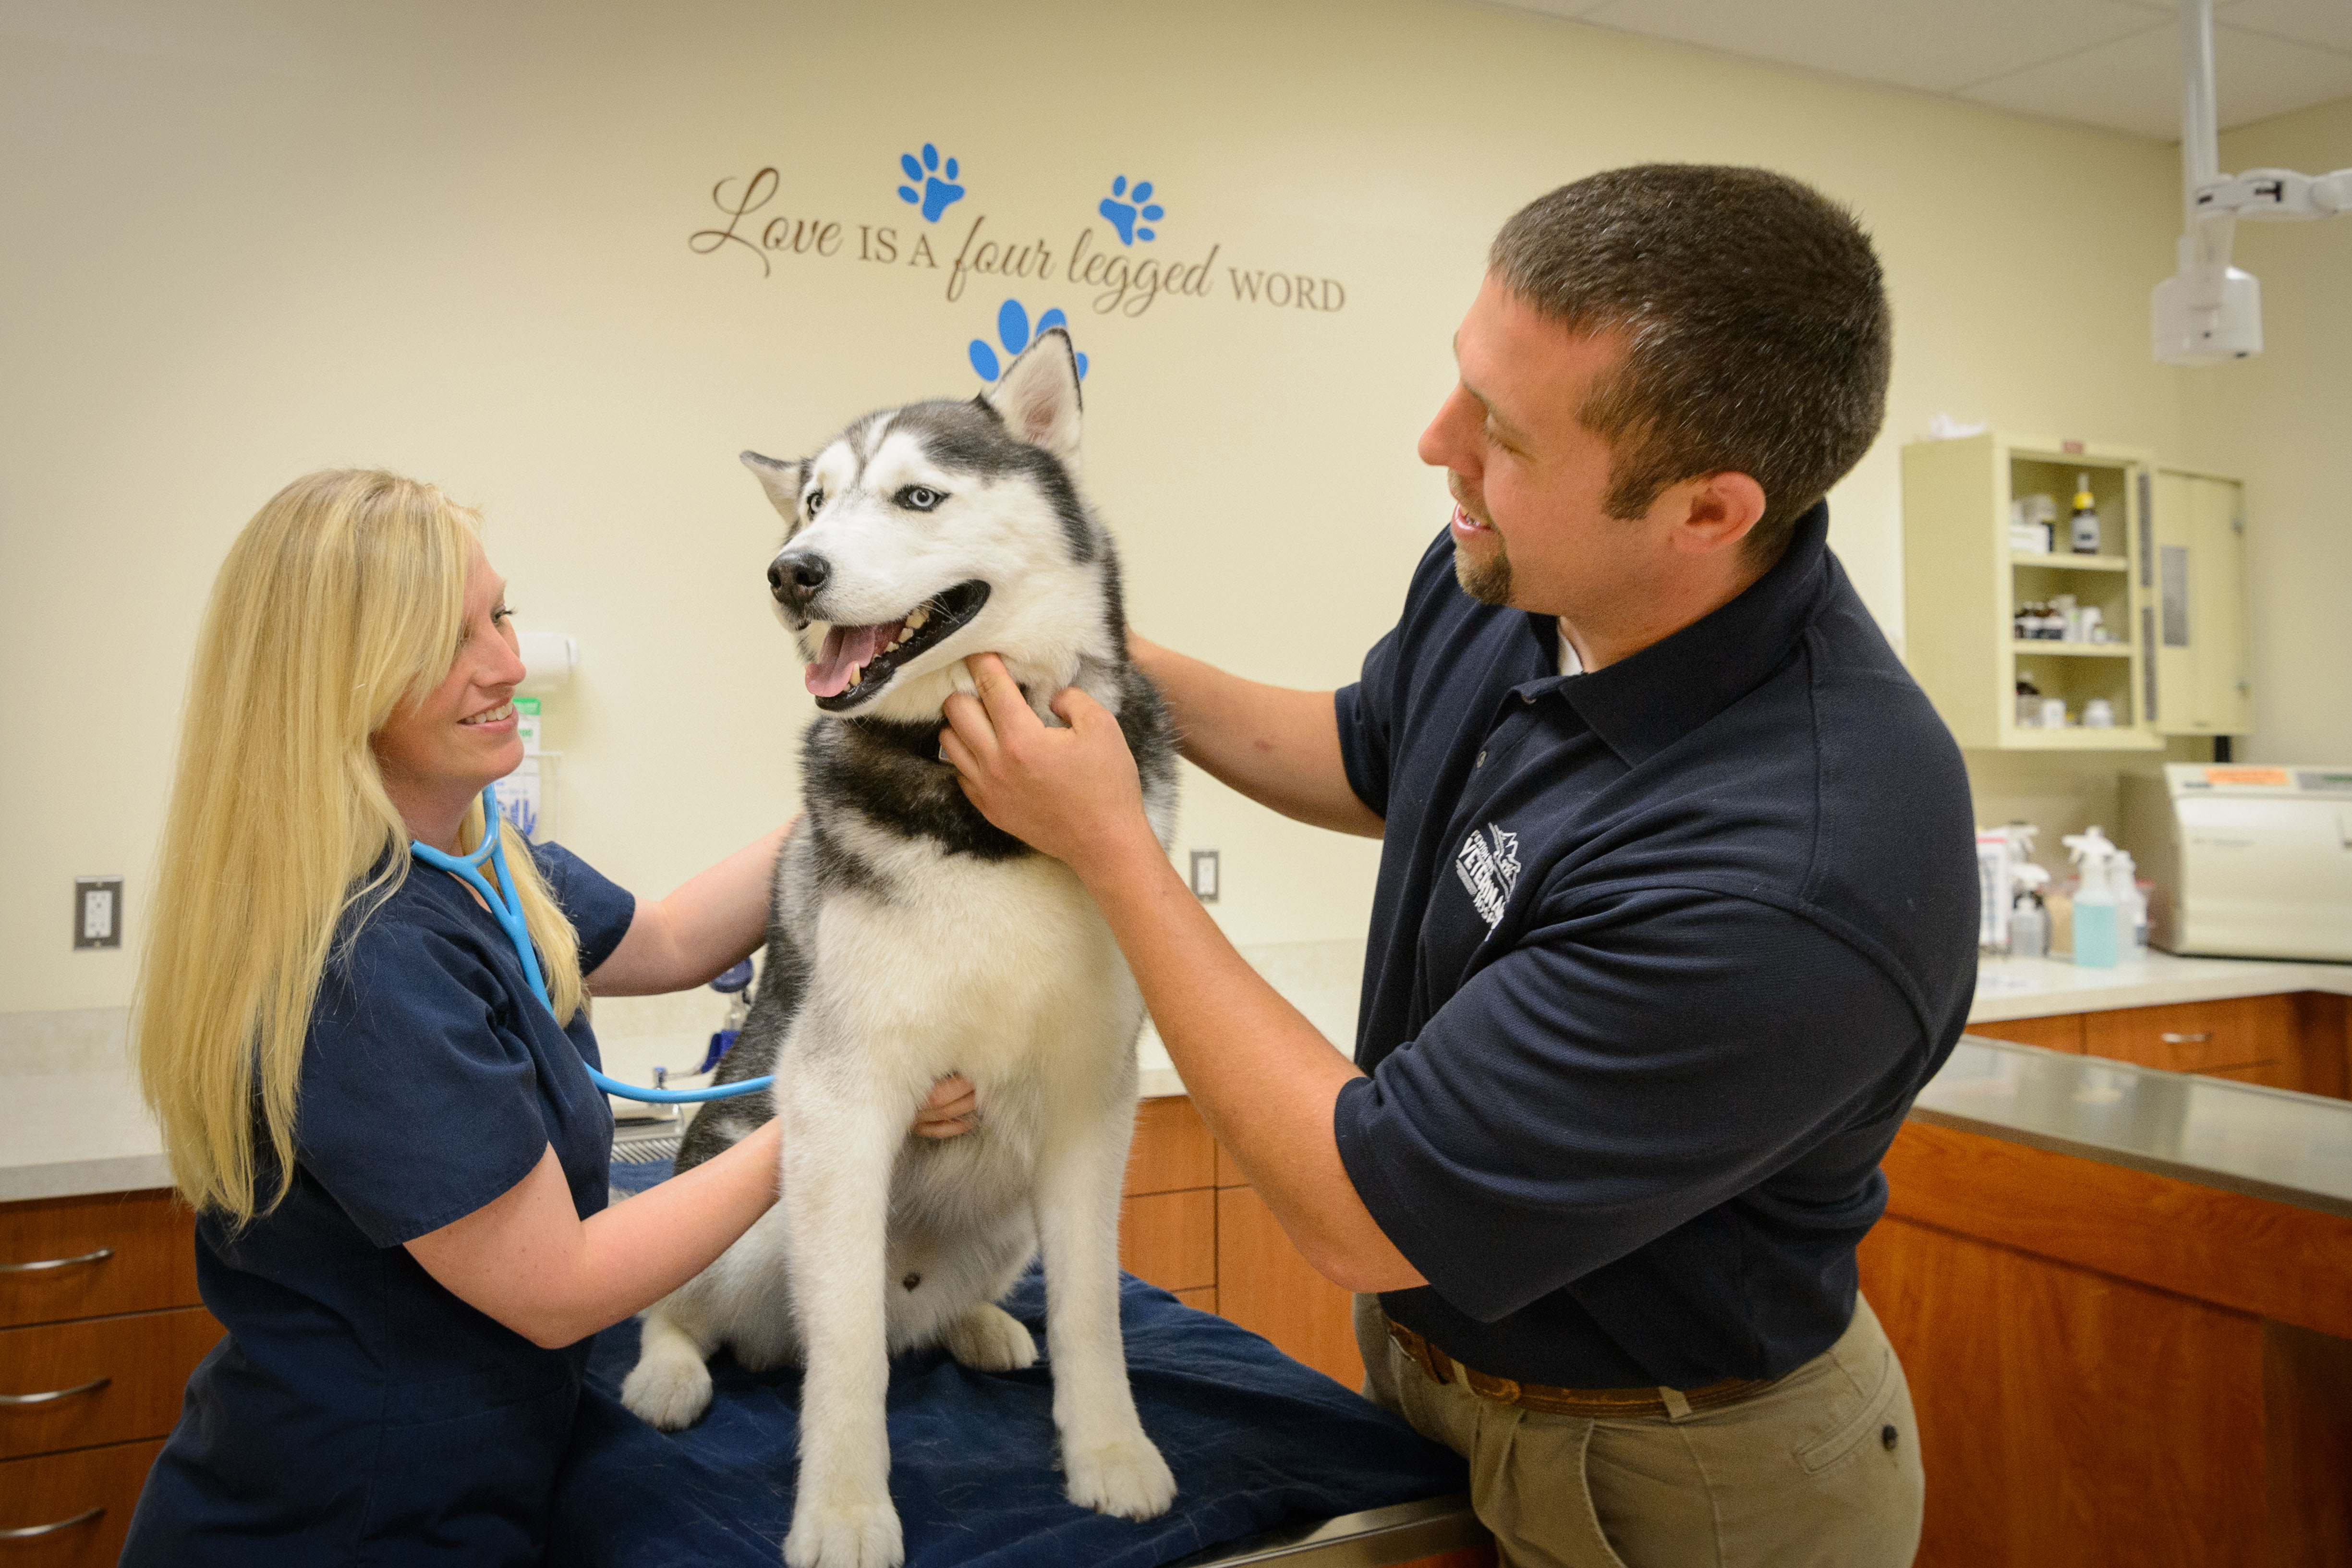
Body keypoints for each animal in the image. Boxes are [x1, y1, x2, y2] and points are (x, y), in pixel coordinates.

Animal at [621, 334, 1176, 1568]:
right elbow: (847, 1359)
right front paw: (842, 1511)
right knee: (681, 1302)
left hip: (1011, 1205)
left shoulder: (1092, 1099)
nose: (790, 572)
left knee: (943, 1312)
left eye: (917, 497)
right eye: (815, 503)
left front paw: (1111, 1452)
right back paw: (667, 1374)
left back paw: (977, 1324)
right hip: (748, 1195)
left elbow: (1093, 1309)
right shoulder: (842, 1100)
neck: (977, 809)